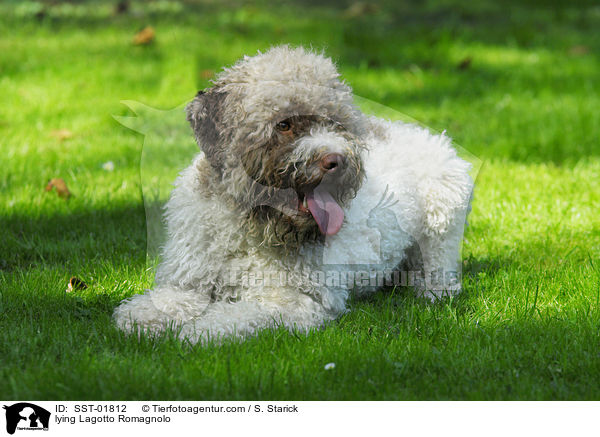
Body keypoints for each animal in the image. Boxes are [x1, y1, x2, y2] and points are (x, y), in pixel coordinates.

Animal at [113, 46, 474, 340]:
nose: (338, 161)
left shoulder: (294, 302)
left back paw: (431, 290)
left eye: (335, 123)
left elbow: (237, 315)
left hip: (442, 223)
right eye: (284, 124)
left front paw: (200, 330)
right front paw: (145, 315)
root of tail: (429, 134)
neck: (246, 223)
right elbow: (165, 303)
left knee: (440, 267)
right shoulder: (188, 281)